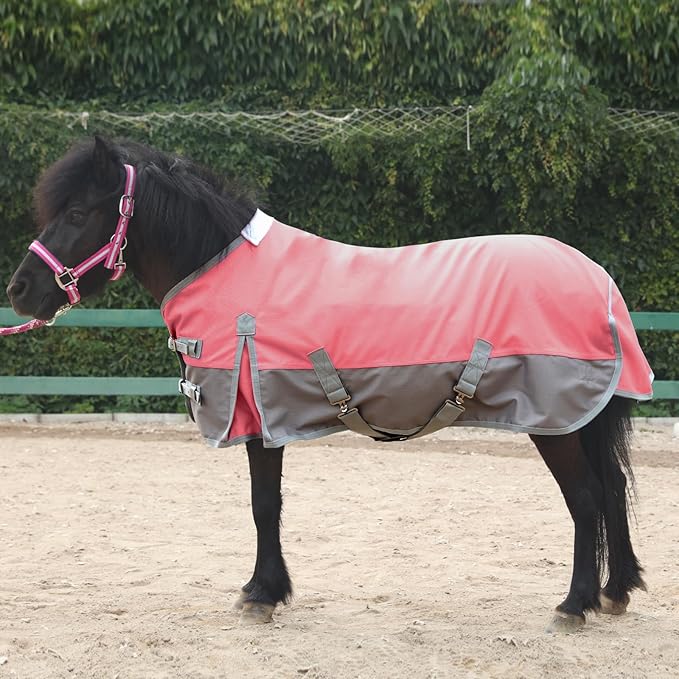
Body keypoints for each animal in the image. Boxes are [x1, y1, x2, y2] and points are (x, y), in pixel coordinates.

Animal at [6, 136, 650, 631]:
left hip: (554, 419)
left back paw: (574, 605)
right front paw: (267, 590)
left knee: (585, 497)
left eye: (78, 214)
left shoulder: (257, 419)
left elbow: (264, 504)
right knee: (612, 488)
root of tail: (598, 279)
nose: (19, 290)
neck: (224, 270)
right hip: (580, 417)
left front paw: (261, 595)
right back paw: (615, 592)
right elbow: (268, 504)